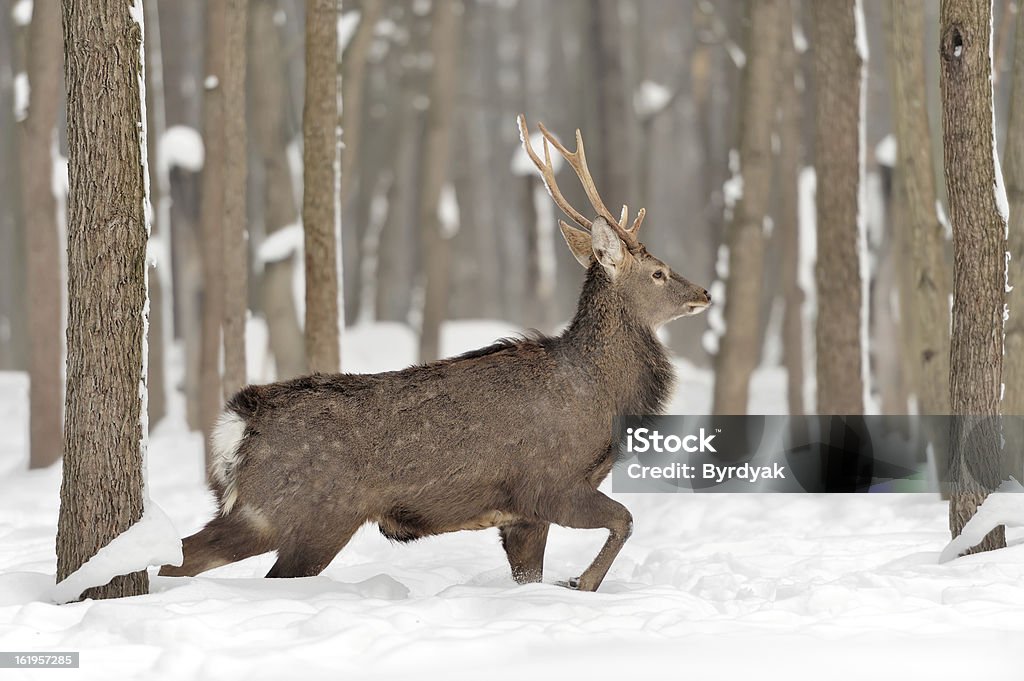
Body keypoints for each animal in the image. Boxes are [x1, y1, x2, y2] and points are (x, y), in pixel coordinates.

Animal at [163, 115, 712, 589]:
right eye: (659, 273)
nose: (705, 292)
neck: (601, 395)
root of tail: (238, 421)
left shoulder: (520, 517)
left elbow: (530, 574)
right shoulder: (546, 485)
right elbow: (626, 519)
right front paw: (580, 582)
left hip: (263, 511)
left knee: (185, 554)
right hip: (305, 514)